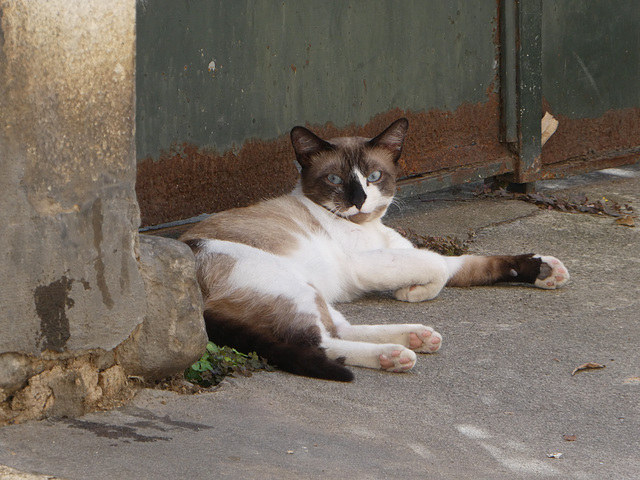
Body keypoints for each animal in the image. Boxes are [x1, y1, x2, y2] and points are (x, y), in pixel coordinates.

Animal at [180, 118, 568, 380]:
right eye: (335, 180)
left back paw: (413, 339)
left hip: (310, 291)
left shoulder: (405, 253)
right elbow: (438, 268)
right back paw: (397, 354)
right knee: (318, 342)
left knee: (338, 330)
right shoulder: (364, 265)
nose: (359, 200)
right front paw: (413, 292)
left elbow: (468, 264)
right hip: (291, 284)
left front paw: (545, 270)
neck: (369, 229)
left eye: (374, 177)